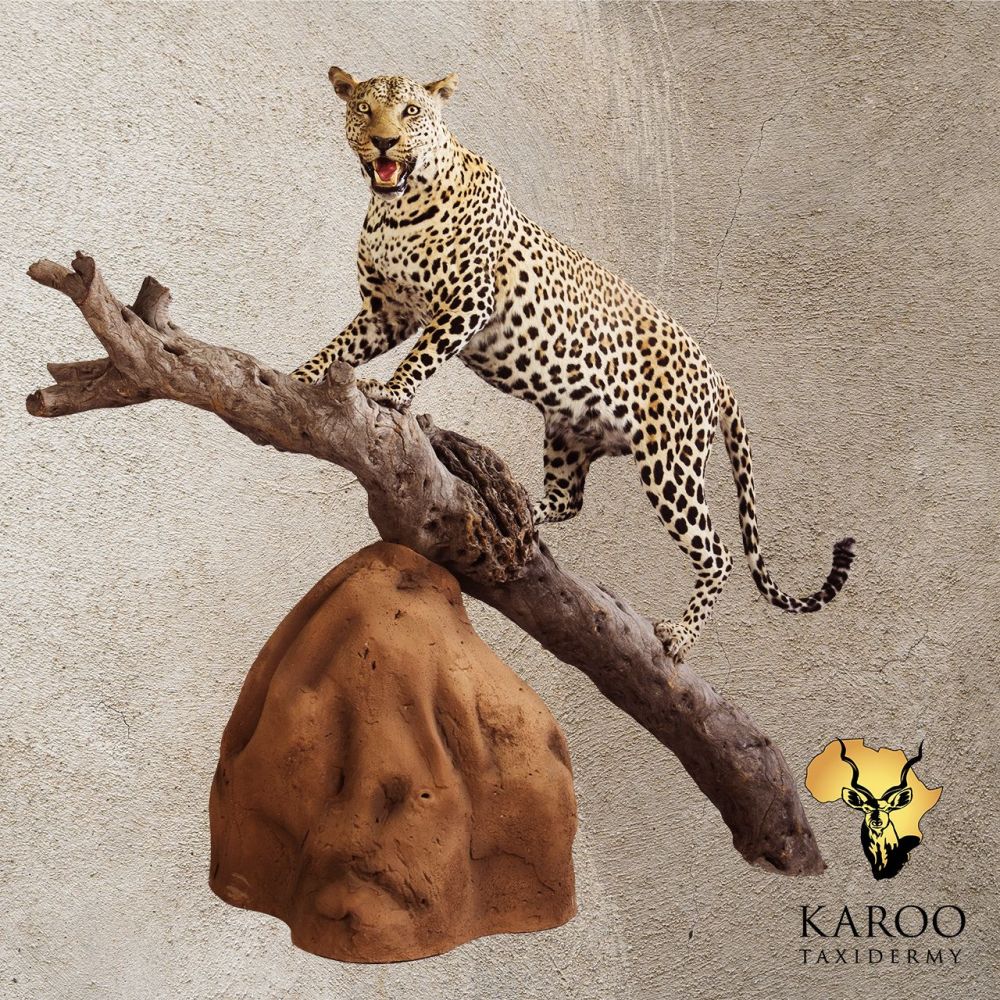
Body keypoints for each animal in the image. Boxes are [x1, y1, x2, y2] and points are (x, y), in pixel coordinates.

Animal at [292, 67, 856, 658]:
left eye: (411, 112)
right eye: (364, 109)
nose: (384, 141)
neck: (393, 213)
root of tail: (720, 377)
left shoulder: (468, 302)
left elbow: (423, 355)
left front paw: (391, 392)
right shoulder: (385, 313)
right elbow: (338, 347)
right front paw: (298, 377)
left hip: (671, 462)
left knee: (717, 554)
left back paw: (678, 635)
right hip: (569, 432)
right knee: (568, 500)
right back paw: (516, 511)